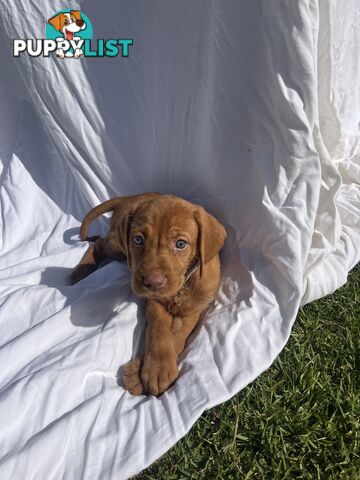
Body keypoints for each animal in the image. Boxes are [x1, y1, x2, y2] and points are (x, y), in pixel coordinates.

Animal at [71, 193, 226, 396]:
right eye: (138, 240)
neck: (183, 285)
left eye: (180, 244)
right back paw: (81, 270)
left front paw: (144, 371)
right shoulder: (154, 301)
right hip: (119, 247)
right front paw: (156, 368)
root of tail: (133, 196)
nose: (153, 282)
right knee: (98, 243)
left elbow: (178, 334)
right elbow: (158, 329)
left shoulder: (192, 309)